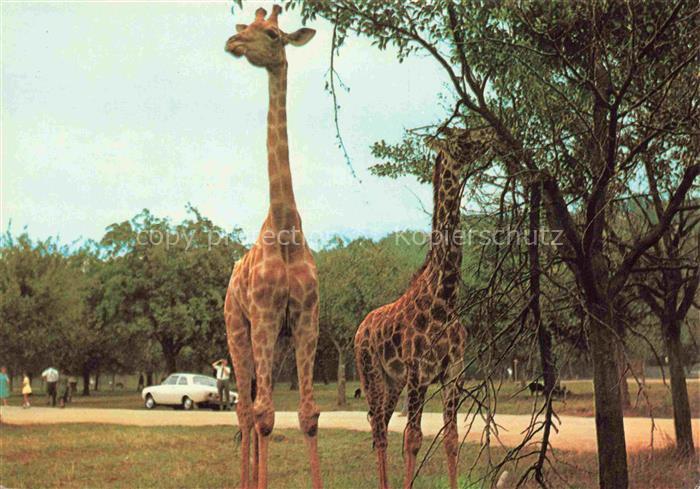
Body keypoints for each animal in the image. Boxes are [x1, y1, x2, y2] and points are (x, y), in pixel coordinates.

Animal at [354, 128, 495, 489]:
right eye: (462, 135)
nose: (487, 134)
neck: (445, 299)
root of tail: (360, 330)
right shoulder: (419, 372)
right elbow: (413, 439)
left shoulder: (453, 373)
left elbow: (451, 437)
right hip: (371, 374)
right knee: (379, 429)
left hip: (392, 382)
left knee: (381, 426)